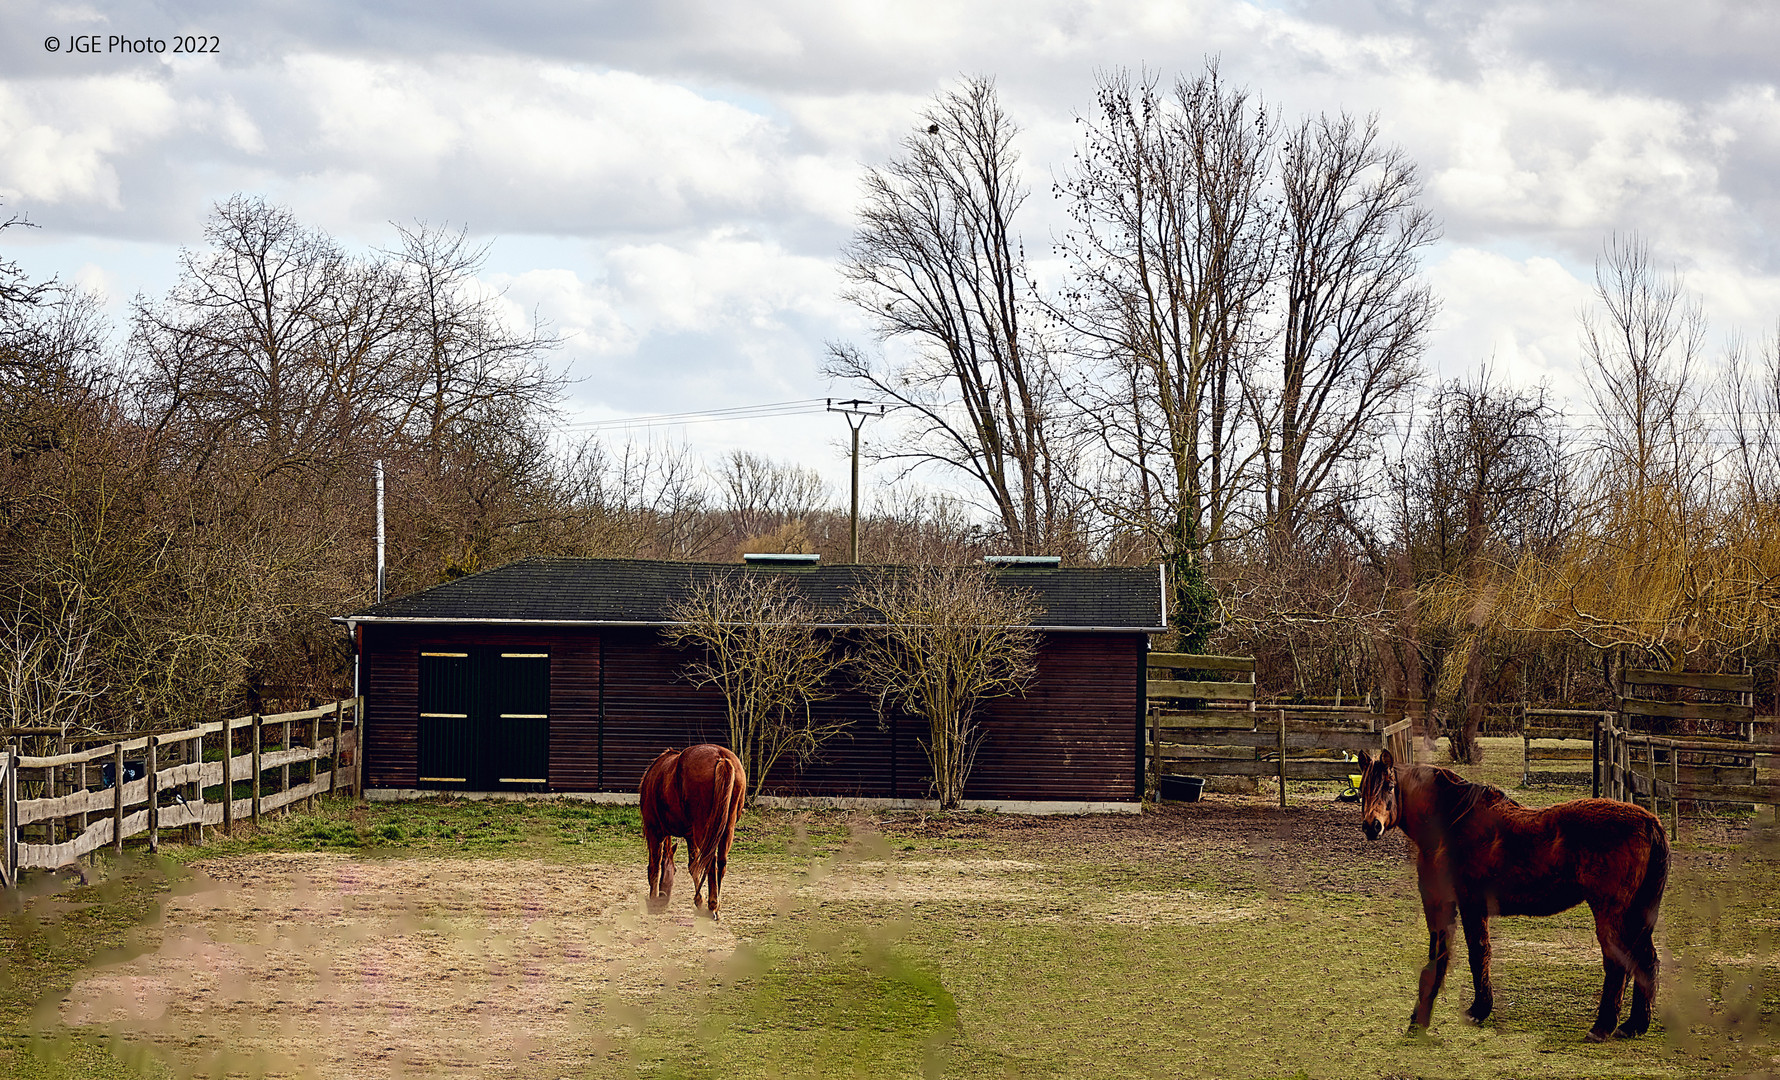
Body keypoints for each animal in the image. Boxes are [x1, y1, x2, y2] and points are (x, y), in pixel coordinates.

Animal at [640, 747, 744, 918]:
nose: (663, 897)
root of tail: (721, 757)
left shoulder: (654, 832)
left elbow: (654, 866)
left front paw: (653, 898)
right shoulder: (690, 836)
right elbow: (693, 865)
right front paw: (698, 899)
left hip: (704, 830)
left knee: (711, 861)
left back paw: (713, 905)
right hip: (726, 828)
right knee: (721, 861)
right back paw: (716, 905)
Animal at [1359, 747, 1666, 1046]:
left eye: (1389, 786)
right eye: (1362, 788)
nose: (1371, 826)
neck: (1451, 822)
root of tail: (1649, 822)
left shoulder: (1468, 904)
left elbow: (1476, 952)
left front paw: (1477, 1010)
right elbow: (1445, 958)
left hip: (1610, 913)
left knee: (1617, 963)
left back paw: (1602, 1028)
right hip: (1635, 915)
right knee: (1646, 960)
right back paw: (1633, 1025)